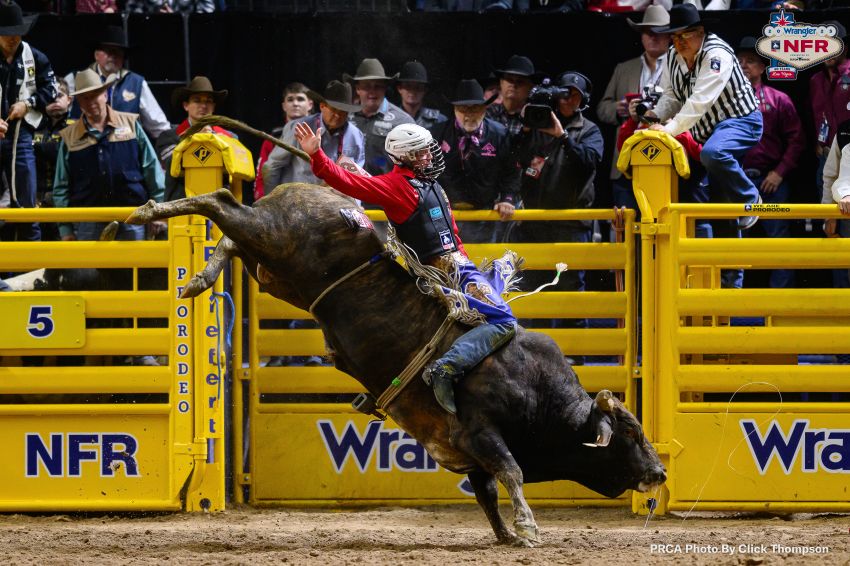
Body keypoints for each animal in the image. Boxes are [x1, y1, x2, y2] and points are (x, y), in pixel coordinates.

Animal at [126, 179, 665, 547]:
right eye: (631, 434)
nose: (659, 474)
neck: (540, 393)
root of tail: (317, 190)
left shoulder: (467, 453)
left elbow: (488, 492)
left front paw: (507, 535)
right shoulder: (481, 433)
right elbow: (510, 472)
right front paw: (529, 530)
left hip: (273, 270)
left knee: (230, 235)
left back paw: (198, 277)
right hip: (273, 238)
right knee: (220, 202)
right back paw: (152, 212)